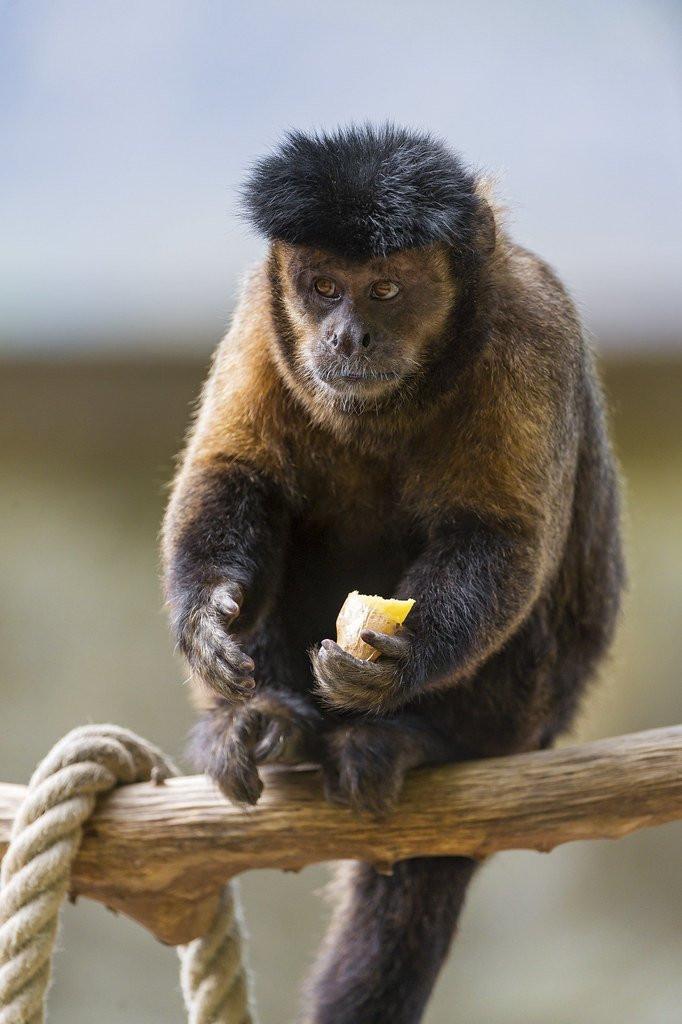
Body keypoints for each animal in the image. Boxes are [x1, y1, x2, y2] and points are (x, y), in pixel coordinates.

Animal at [161, 125, 622, 1024]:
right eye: (323, 287)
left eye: (384, 289)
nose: (347, 336)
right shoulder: (262, 314)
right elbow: (235, 476)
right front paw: (206, 618)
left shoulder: (531, 329)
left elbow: (503, 537)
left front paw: (403, 663)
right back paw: (269, 727)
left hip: (531, 719)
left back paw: (417, 743)